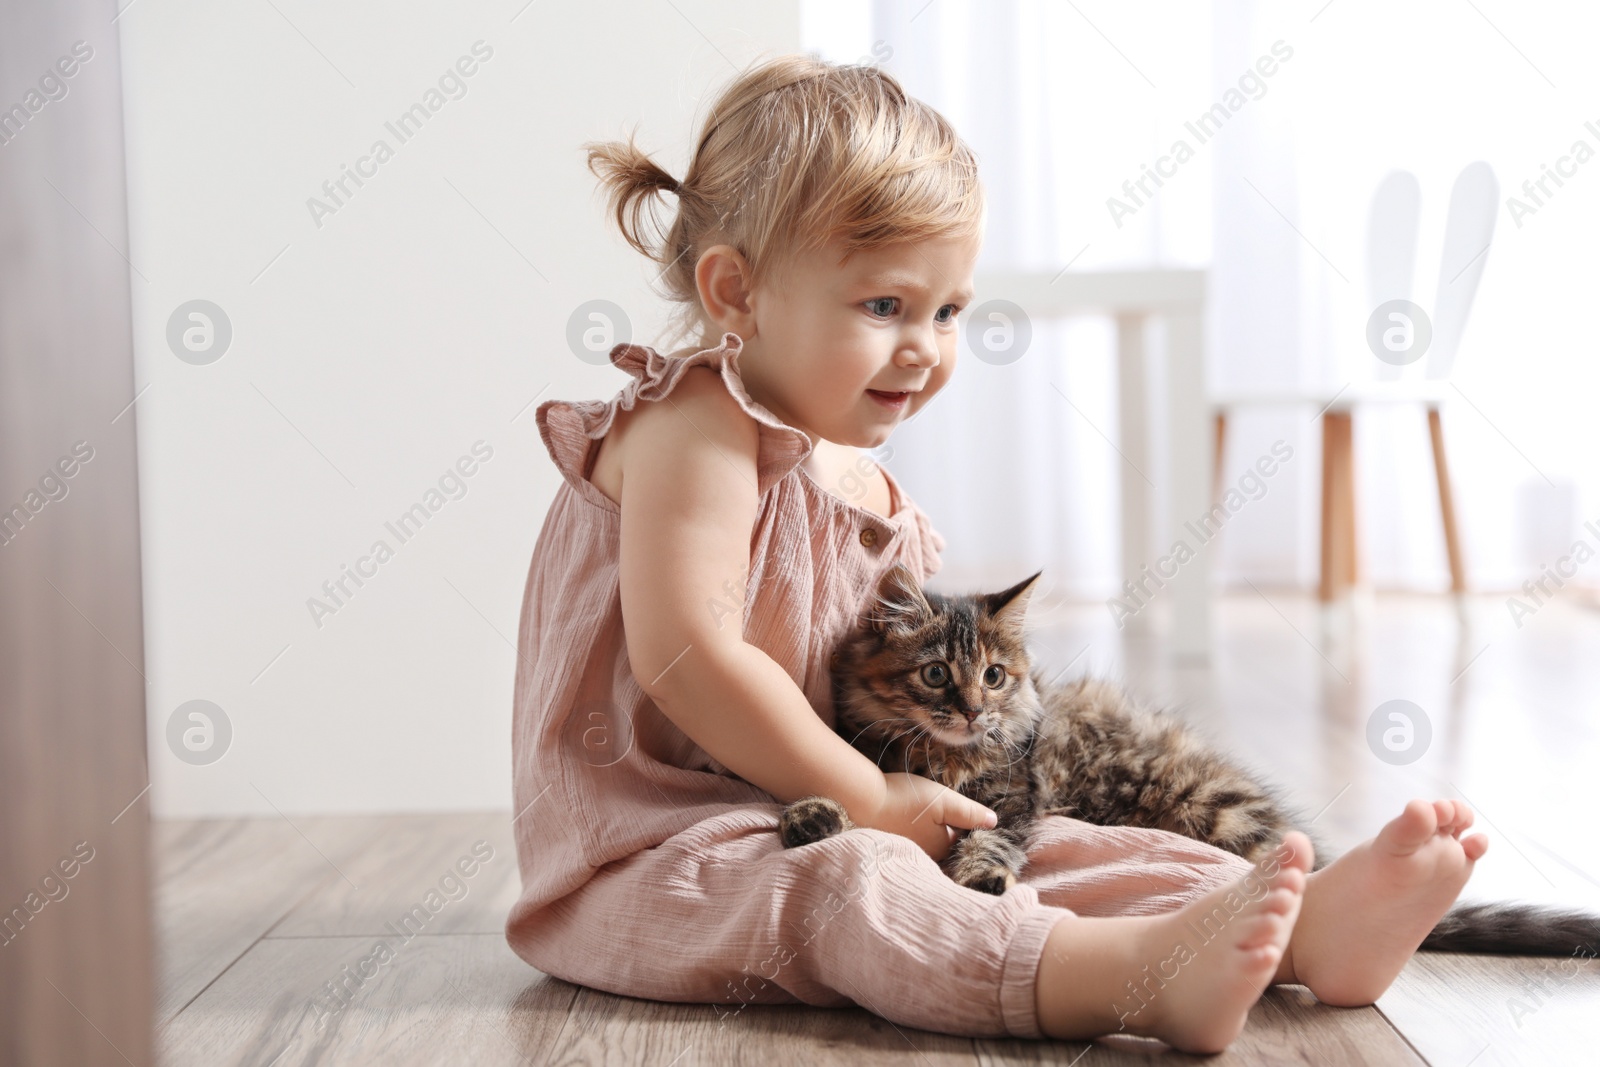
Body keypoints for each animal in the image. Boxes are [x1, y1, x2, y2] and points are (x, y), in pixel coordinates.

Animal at [777, 563, 1600, 953]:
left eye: (996, 675)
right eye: (936, 674)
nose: (977, 709)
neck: (941, 755)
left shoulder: (1015, 798)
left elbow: (990, 838)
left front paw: (980, 874)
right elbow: (839, 793)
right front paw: (810, 815)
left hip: (1217, 814)